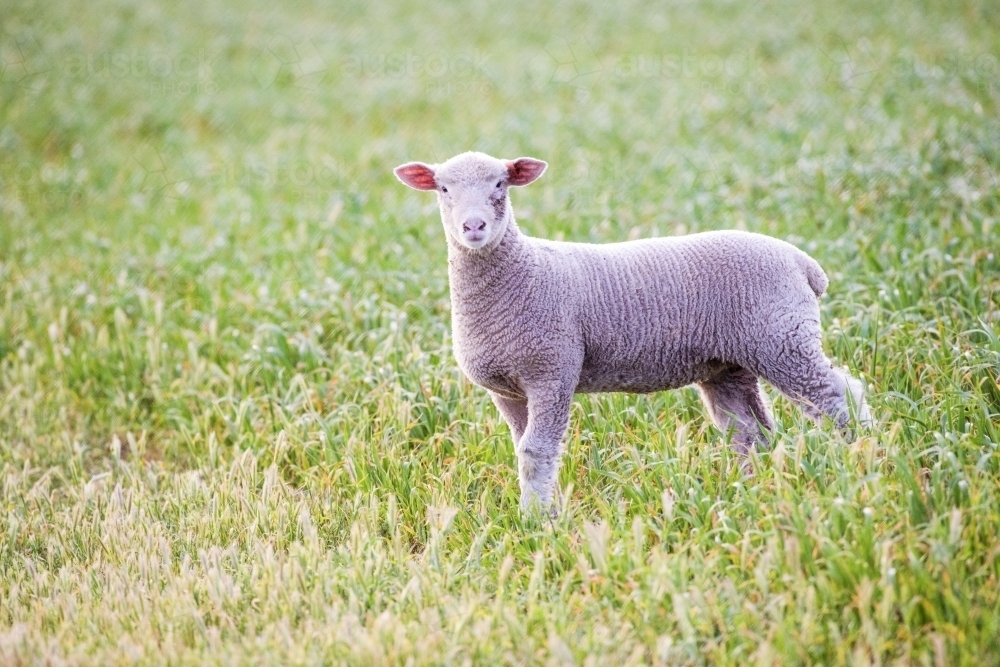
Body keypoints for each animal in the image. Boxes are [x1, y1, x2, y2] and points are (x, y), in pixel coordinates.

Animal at [394, 151, 872, 516]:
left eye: (500, 184)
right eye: (443, 189)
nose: (473, 227)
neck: (522, 271)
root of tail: (803, 263)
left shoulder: (551, 373)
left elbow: (536, 452)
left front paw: (536, 521)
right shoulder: (508, 390)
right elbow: (523, 449)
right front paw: (542, 510)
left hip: (783, 338)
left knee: (837, 394)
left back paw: (867, 458)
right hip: (730, 363)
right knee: (749, 430)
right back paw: (753, 488)